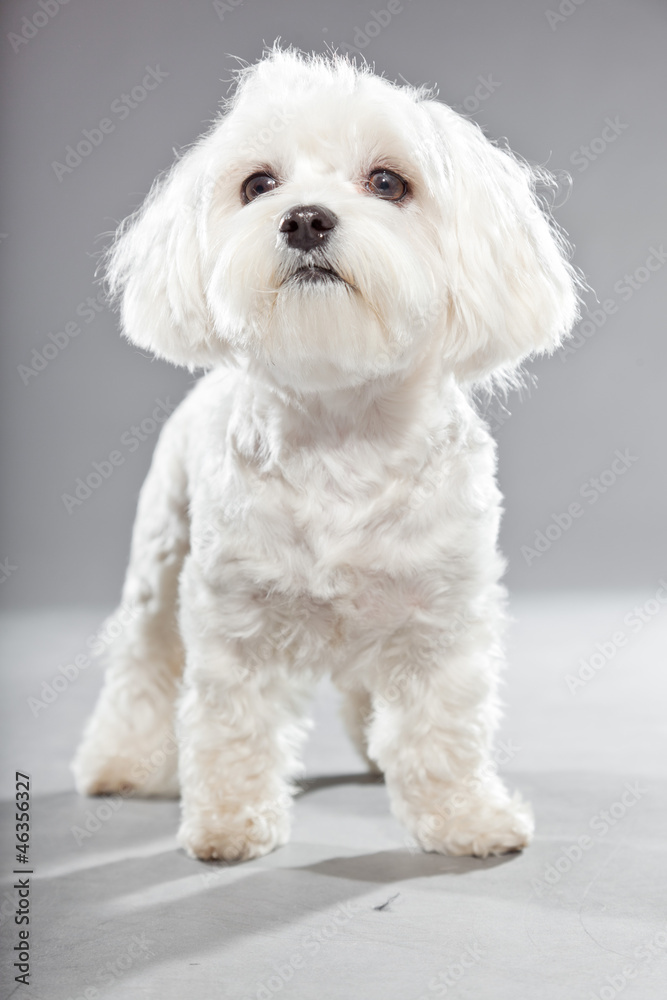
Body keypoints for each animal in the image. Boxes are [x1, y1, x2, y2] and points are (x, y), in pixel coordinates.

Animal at [70, 48, 576, 860]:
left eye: (387, 182)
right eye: (258, 184)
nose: (305, 218)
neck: (343, 429)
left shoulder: (442, 615)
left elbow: (443, 728)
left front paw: (464, 818)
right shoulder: (233, 619)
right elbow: (231, 723)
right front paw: (230, 822)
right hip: (158, 563)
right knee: (141, 667)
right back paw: (121, 761)